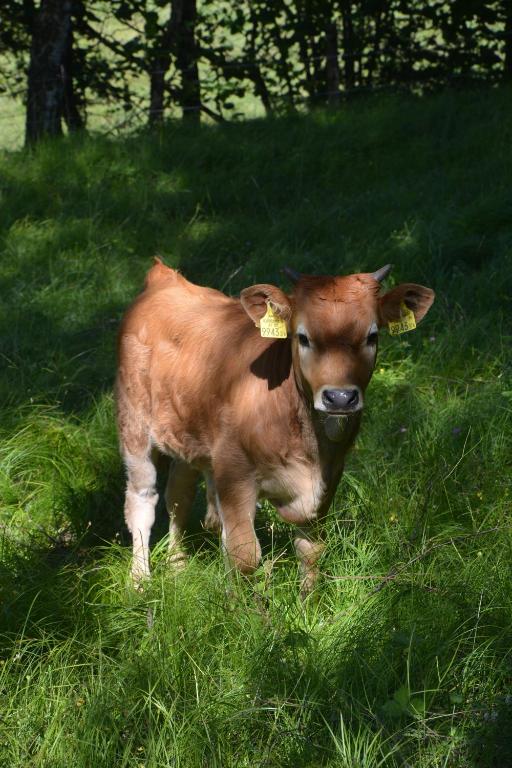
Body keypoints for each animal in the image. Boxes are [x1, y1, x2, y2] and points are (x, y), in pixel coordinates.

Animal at [116, 259, 434, 594]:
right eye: (302, 337)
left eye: (372, 336)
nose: (340, 397)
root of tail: (165, 277)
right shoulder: (234, 472)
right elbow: (243, 555)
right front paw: (239, 607)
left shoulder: (329, 478)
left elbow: (310, 551)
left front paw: (308, 602)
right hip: (134, 425)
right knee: (142, 500)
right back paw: (139, 579)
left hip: (187, 434)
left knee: (179, 493)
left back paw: (177, 564)